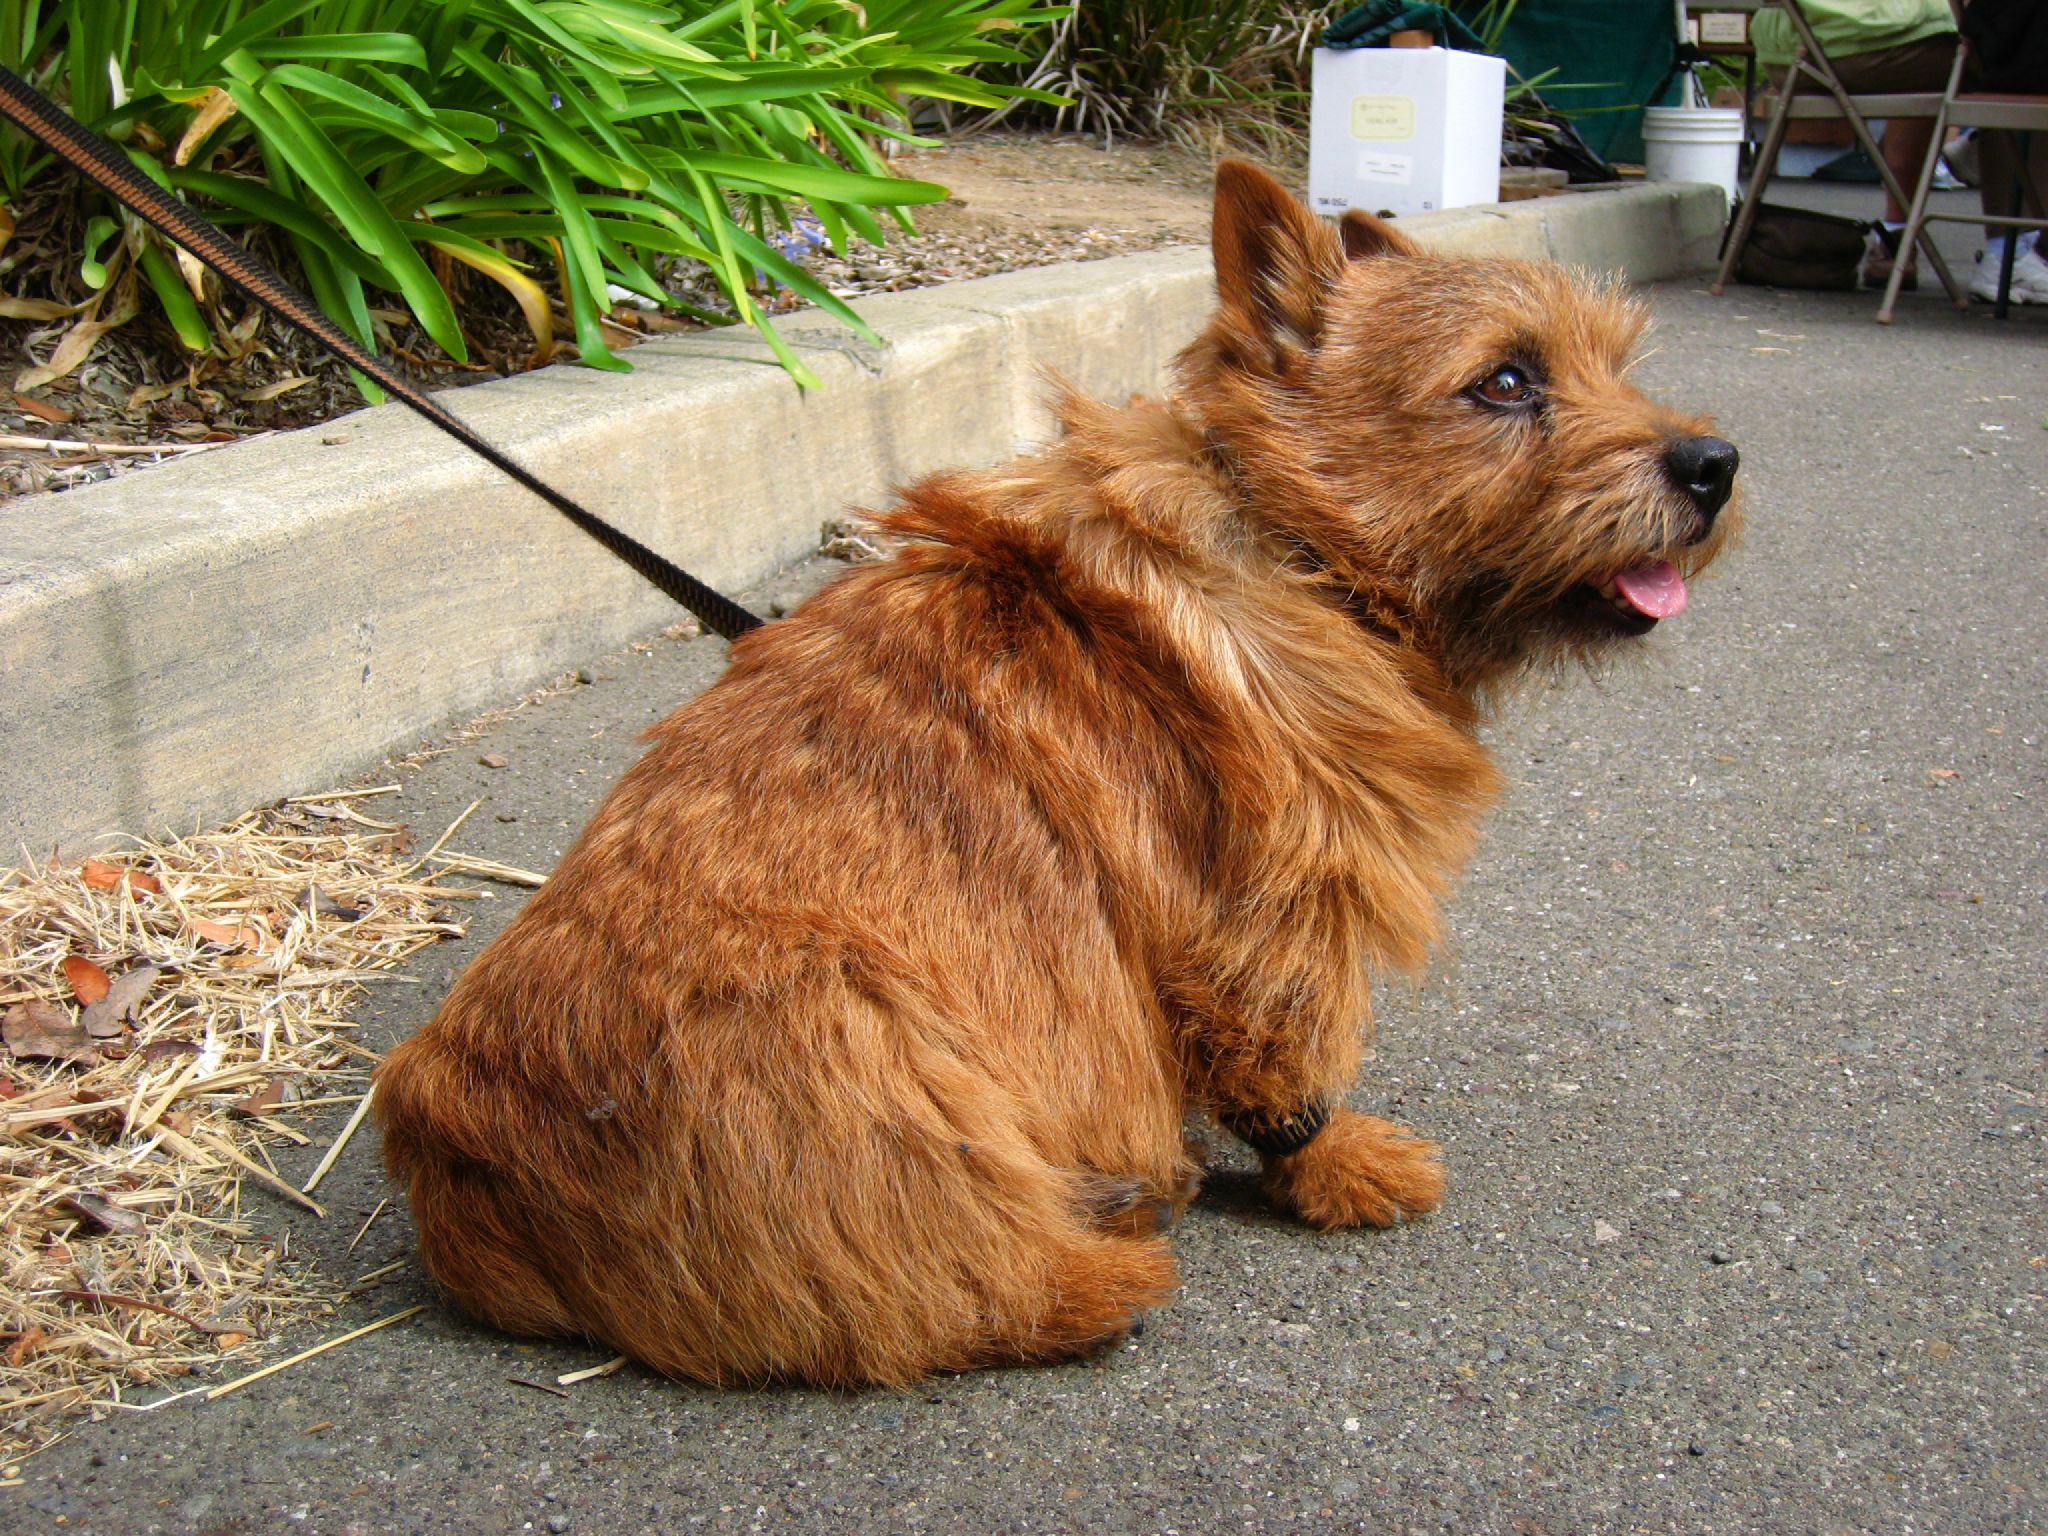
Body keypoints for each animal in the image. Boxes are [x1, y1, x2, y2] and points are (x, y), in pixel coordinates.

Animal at [376, 162, 1736, 1392]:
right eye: (1504, 380)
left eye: (1613, 360)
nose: (1713, 463)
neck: (1295, 545)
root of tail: (453, 1158)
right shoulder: (1272, 913)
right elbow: (1289, 1062)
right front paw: (1335, 1167)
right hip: (863, 1035)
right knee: (933, 1290)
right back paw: (1108, 1261)